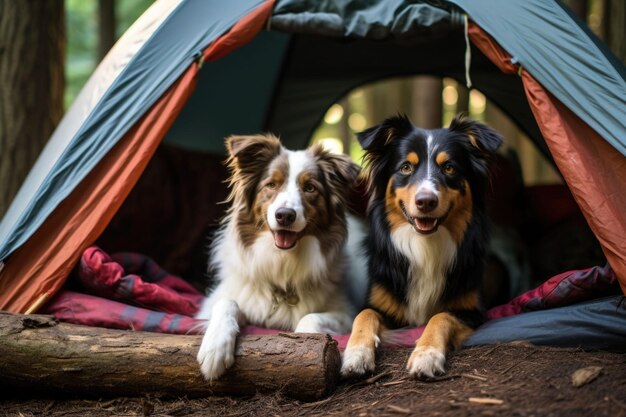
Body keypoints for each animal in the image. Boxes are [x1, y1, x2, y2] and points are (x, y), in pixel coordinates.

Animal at [195, 134, 360, 380]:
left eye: (310, 188)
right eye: (271, 184)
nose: (285, 215)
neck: (282, 261)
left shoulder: (345, 313)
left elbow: (310, 318)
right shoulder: (215, 303)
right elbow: (226, 303)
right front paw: (215, 348)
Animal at [338, 115, 500, 378]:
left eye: (449, 168)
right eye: (406, 167)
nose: (426, 201)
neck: (425, 245)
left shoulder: (473, 312)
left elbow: (440, 316)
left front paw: (427, 355)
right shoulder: (380, 303)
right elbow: (364, 315)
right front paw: (356, 354)